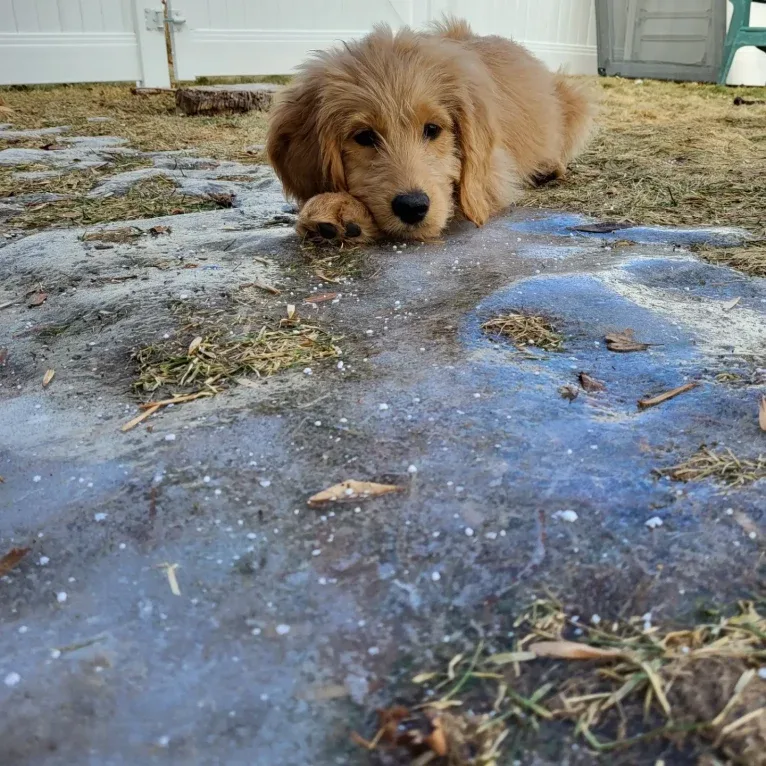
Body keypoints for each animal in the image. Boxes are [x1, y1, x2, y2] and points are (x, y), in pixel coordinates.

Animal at [268, 18, 596, 244]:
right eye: (363, 137)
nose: (412, 207)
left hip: (576, 101)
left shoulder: (493, 178)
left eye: (433, 129)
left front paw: (341, 207)